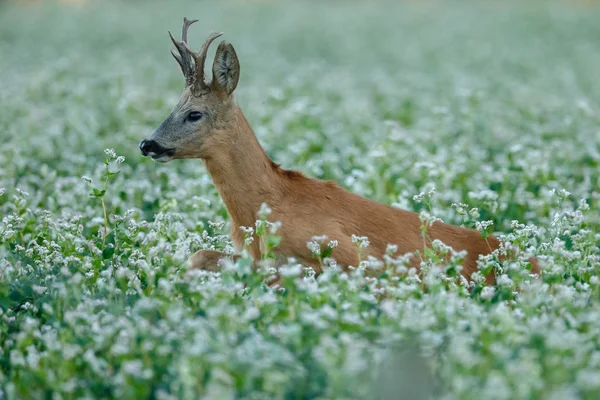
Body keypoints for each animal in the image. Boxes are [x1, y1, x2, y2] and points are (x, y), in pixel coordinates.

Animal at [138, 17, 540, 282]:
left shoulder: (346, 253)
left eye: (194, 113)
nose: (147, 143)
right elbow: (199, 255)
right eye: (173, 105)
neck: (266, 208)